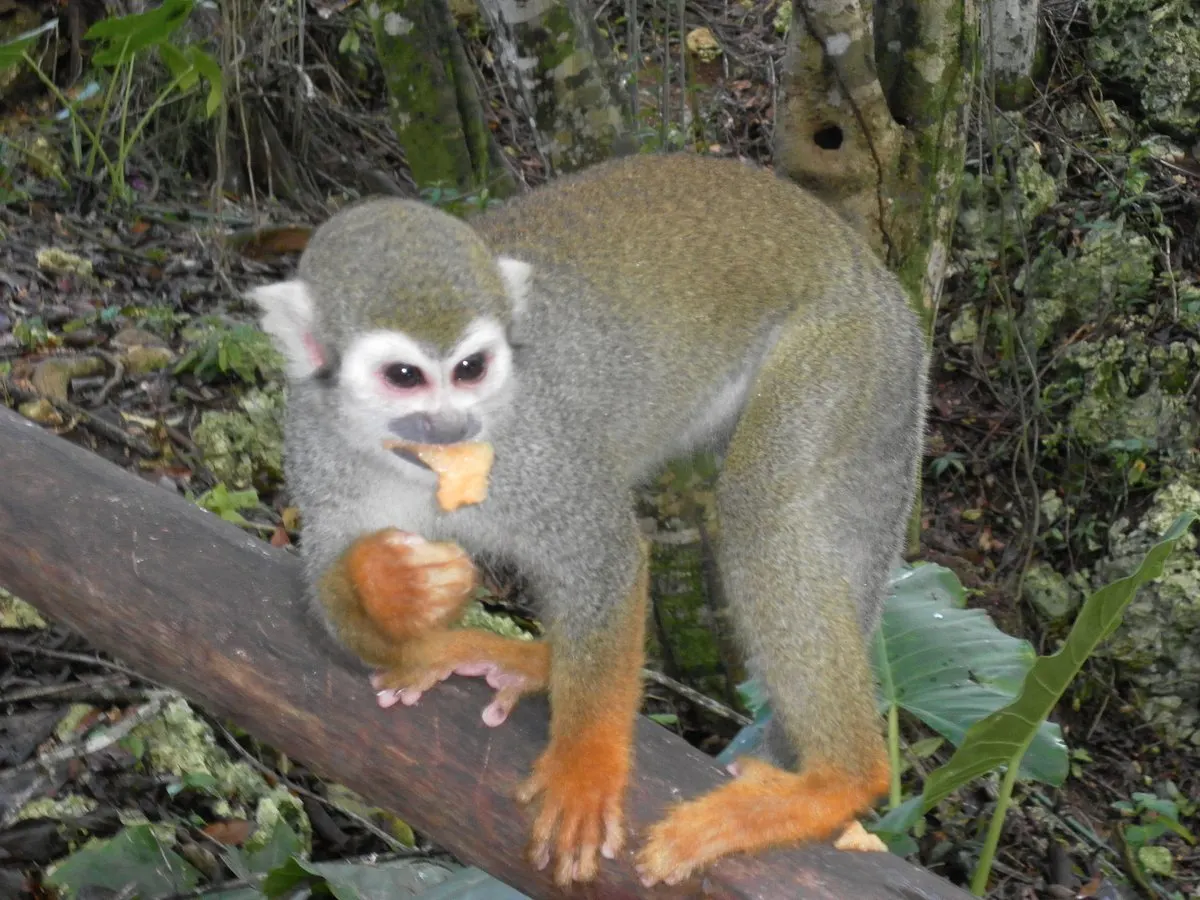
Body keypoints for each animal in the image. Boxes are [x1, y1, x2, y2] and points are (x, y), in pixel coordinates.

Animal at [248, 152, 929, 888]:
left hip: (844, 354)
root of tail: (876, 278)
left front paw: (585, 767)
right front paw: (393, 584)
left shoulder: (537, 444)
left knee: (762, 506)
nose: (455, 426)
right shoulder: (313, 444)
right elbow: (329, 603)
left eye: (471, 369)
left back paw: (836, 782)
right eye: (404, 376)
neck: (408, 462)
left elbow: (603, 556)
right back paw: (526, 660)